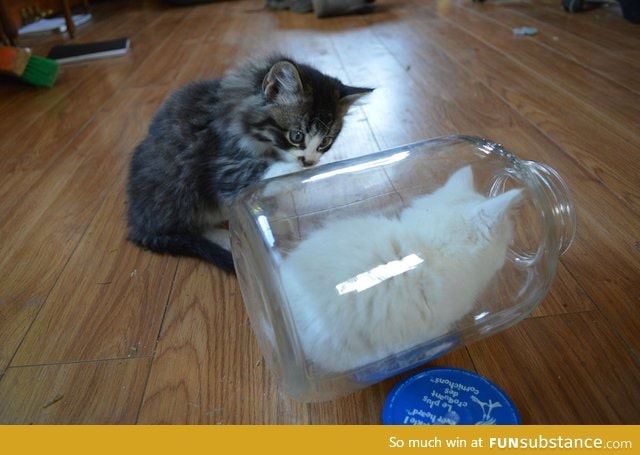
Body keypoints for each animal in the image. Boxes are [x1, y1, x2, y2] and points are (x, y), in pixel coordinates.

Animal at [125, 55, 370, 272]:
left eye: (325, 142)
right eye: (296, 136)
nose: (309, 162)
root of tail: (137, 223)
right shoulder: (224, 164)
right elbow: (259, 173)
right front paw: (303, 171)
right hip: (180, 187)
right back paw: (227, 238)